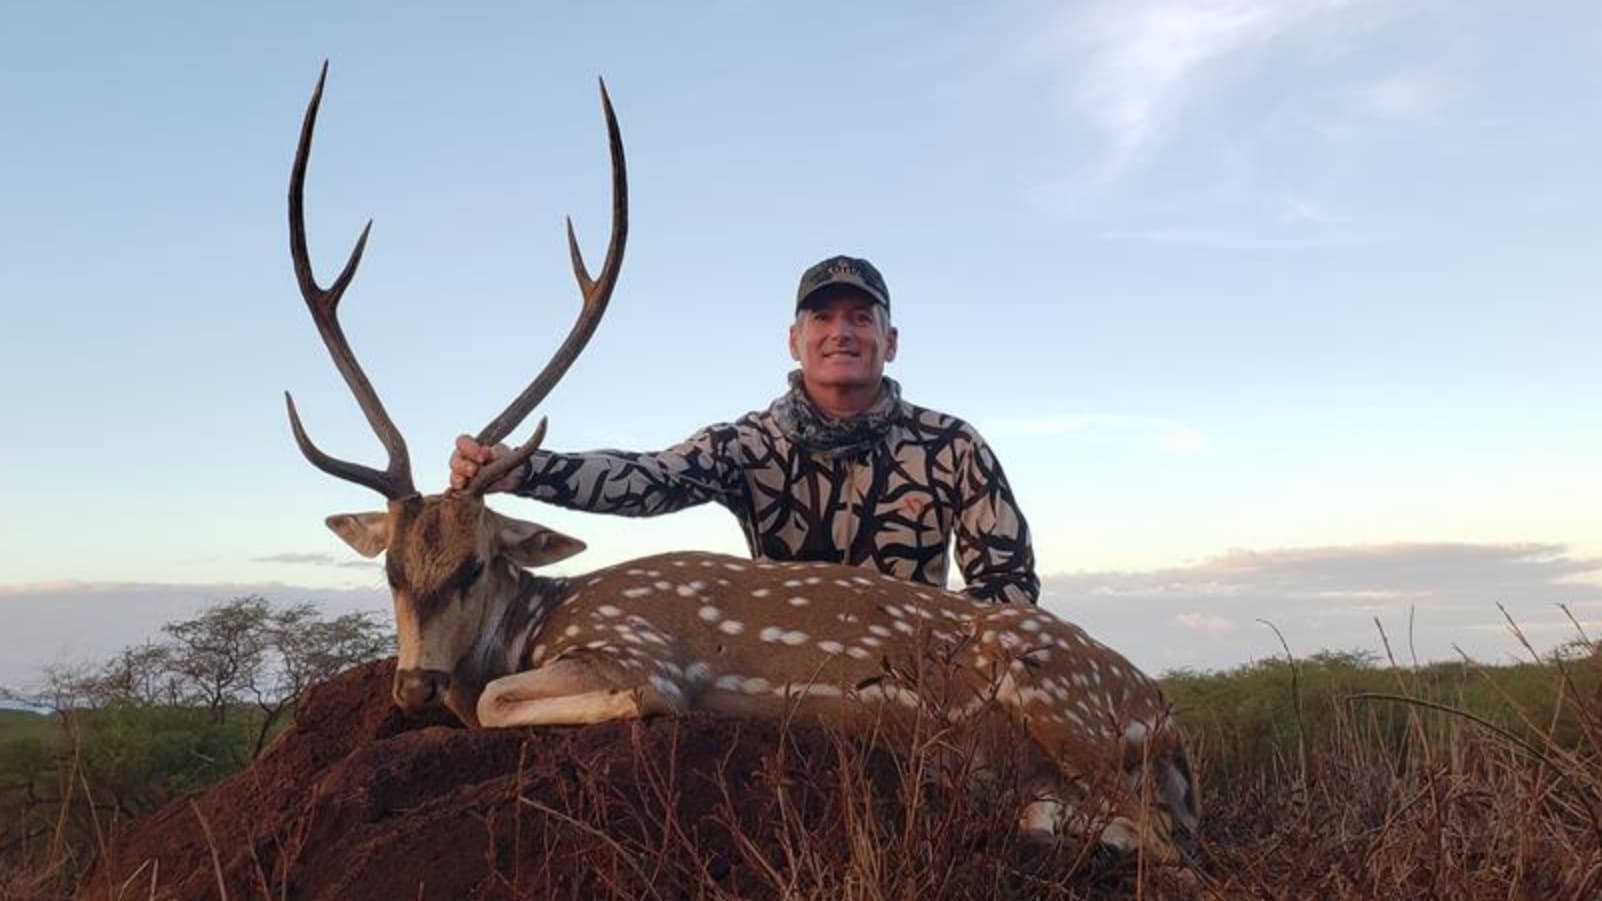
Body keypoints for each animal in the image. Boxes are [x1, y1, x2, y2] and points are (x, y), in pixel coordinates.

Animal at [282, 65, 1199, 864]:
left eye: (474, 564)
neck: (537, 619)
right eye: (391, 569)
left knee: (1170, 849)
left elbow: (501, 699)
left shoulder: (635, 643)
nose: (413, 685)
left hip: (1060, 697)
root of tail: (1162, 712)